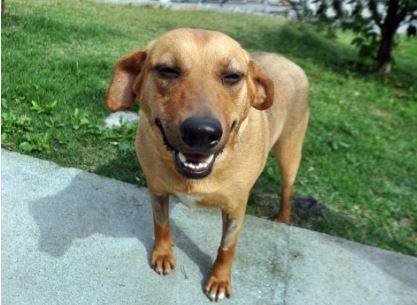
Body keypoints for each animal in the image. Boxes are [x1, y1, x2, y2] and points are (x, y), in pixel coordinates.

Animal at [105, 27, 308, 300]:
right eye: (167, 70)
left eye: (233, 76)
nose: (201, 133)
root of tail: (287, 60)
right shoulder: (156, 190)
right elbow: (161, 224)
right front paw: (163, 252)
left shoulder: (235, 210)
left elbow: (227, 248)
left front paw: (219, 279)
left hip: (290, 151)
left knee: (287, 188)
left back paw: (283, 218)